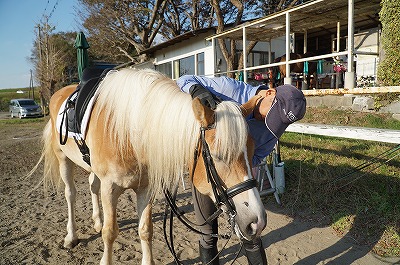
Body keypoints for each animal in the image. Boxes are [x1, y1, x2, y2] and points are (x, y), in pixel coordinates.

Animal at [32, 68, 268, 264]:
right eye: (219, 156)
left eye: (253, 151)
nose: (257, 221)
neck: (129, 133)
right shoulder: (110, 188)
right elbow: (110, 232)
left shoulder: (145, 188)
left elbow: (145, 229)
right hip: (63, 159)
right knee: (70, 194)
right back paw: (71, 236)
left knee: (92, 187)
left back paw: (97, 221)